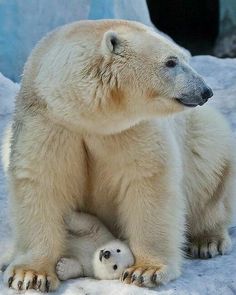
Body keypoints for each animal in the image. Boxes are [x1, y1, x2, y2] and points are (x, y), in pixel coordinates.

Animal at [3, 19, 236, 292]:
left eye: (185, 57)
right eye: (171, 62)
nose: (206, 91)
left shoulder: (131, 128)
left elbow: (147, 182)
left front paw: (145, 270)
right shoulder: (48, 121)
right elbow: (41, 182)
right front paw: (30, 275)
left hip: (201, 137)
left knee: (209, 165)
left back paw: (207, 240)